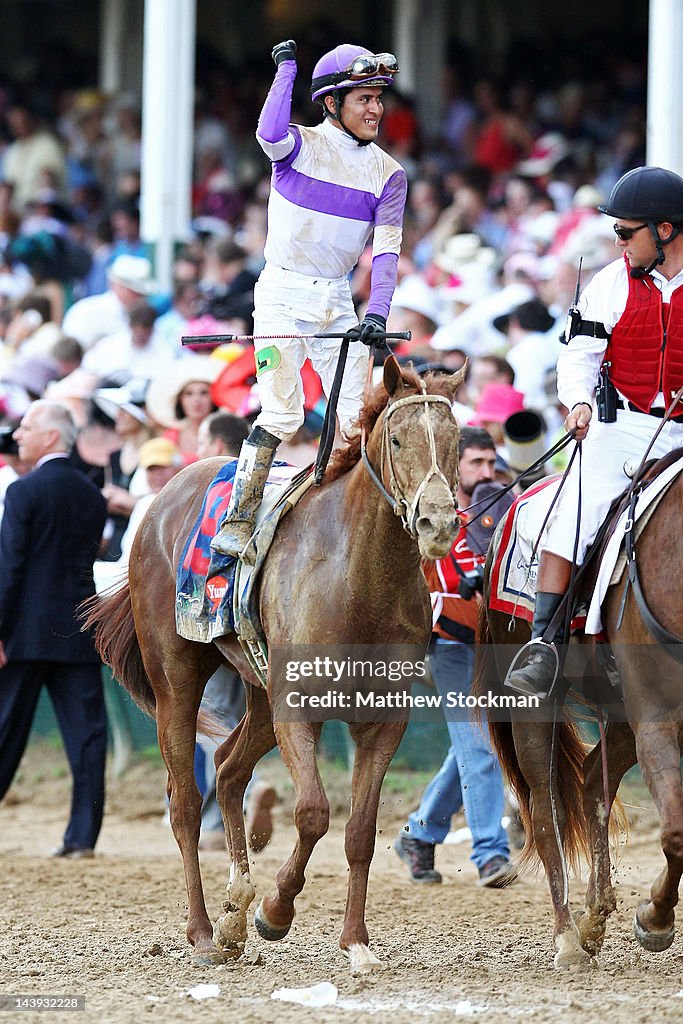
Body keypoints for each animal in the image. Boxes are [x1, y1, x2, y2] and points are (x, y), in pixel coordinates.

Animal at [82, 360, 462, 966]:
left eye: (456, 440)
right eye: (398, 439)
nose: (438, 522)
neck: (358, 580)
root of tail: (162, 498)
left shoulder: (385, 717)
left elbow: (360, 830)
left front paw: (355, 941)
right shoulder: (299, 709)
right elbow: (312, 812)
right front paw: (275, 911)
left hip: (259, 693)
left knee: (228, 770)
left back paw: (234, 909)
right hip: (176, 680)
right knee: (185, 800)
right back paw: (205, 931)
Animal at [475, 471, 683, 966]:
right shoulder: (658, 719)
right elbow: (676, 832)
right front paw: (655, 920)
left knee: (592, 781)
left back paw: (595, 915)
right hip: (536, 707)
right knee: (545, 805)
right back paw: (568, 937)